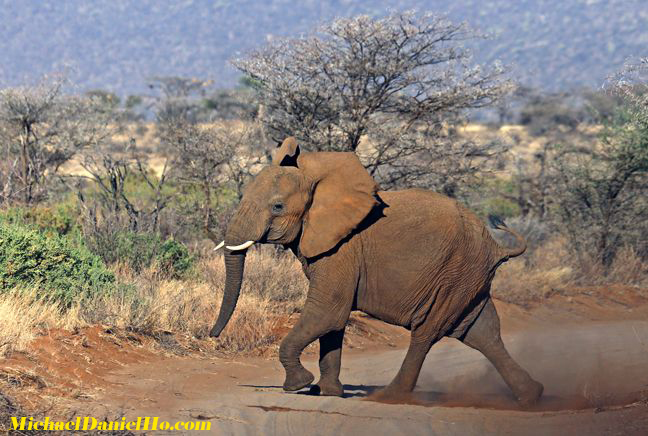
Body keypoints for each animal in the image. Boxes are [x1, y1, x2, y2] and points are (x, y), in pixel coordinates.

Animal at [209, 137, 544, 406]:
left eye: (277, 207)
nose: (212, 336)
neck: (318, 178)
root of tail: (497, 245)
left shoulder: (342, 248)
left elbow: (327, 311)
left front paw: (299, 385)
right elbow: (332, 320)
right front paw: (327, 392)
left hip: (455, 274)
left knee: (428, 332)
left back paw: (389, 396)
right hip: (468, 279)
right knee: (482, 331)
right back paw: (532, 396)